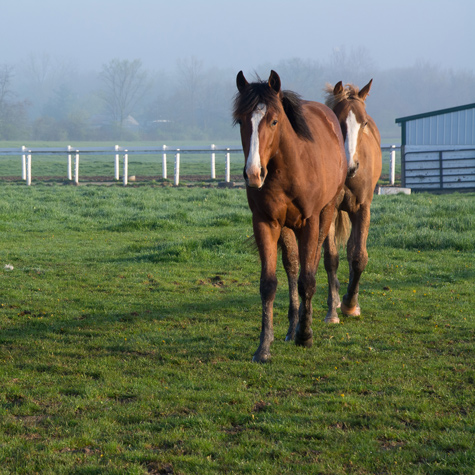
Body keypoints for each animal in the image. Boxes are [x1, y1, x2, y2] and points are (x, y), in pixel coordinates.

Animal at [233, 69, 348, 360]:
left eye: (274, 121)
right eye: (240, 121)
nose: (253, 174)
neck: (288, 170)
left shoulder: (309, 222)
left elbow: (307, 279)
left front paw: (305, 336)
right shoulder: (266, 223)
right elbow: (269, 284)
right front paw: (264, 346)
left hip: (326, 213)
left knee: (316, 262)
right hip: (287, 226)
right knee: (293, 267)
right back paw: (292, 325)